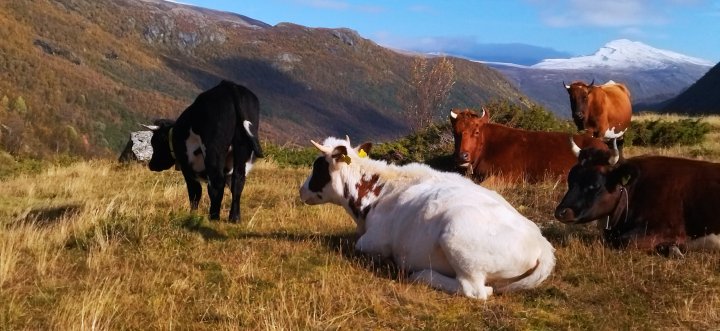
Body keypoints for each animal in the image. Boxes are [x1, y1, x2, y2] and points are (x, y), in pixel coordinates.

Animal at [142, 80, 262, 223]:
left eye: (154, 143)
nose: (151, 165)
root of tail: (229, 86)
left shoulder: (187, 167)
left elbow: (195, 191)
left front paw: (192, 214)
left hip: (213, 149)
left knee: (216, 182)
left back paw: (214, 217)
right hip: (241, 148)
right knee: (238, 180)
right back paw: (235, 218)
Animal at [298, 136, 556, 300]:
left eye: (318, 166)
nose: (301, 191)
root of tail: (542, 244)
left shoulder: (376, 241)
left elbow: (359, 245)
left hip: (459, 241)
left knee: (476, 291)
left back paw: (421, 275)